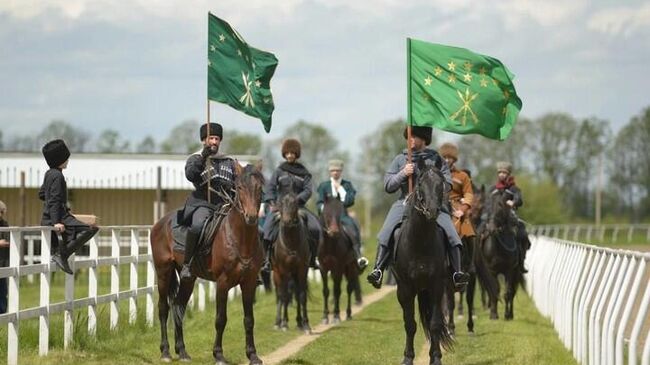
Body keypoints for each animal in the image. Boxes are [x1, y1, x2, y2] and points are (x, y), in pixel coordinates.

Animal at [149, 164, 264, 362]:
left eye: (259, 188)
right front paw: (218, 355)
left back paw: (182, 351)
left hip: (188, 279)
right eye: (240, 187)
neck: (239, 238)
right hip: (163, 272)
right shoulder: (223, 283)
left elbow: (249, 320)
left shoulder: (249, 283)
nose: (251, 217)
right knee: (163, 308)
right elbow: (220, 319)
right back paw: (165, 352)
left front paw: (253, 355)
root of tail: (159, 224)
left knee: (178, 306)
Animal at [270, 192, 312, 334]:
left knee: (296, 294)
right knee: (280, 295)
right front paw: (284, 323)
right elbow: (285, 296)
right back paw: (278, 322)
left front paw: (306, 325)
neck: (291, 242)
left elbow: (302, 296)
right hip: (277, 273)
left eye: (294, 203)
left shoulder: (302, 270)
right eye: (281, 204)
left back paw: (299, 323)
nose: (287, 222)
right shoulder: (284, 270)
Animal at [392, 164, 454, 364]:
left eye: (441, 184)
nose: (432, 210)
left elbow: (435, 324)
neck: (420, 241)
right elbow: (410, 324)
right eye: (420, 183)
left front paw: (436, 357)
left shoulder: (436, 286)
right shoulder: (405, 289)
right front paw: (407, 357)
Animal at [474, 188, 524, 318]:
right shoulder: (491, 271)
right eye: (487, 206)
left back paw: (510, 314)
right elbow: (494, 290)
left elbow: (508, 292)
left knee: (513, 290)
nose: (491, 229)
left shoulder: (510, 270)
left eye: (501, 205)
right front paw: (493, 314)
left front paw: (507, 315)